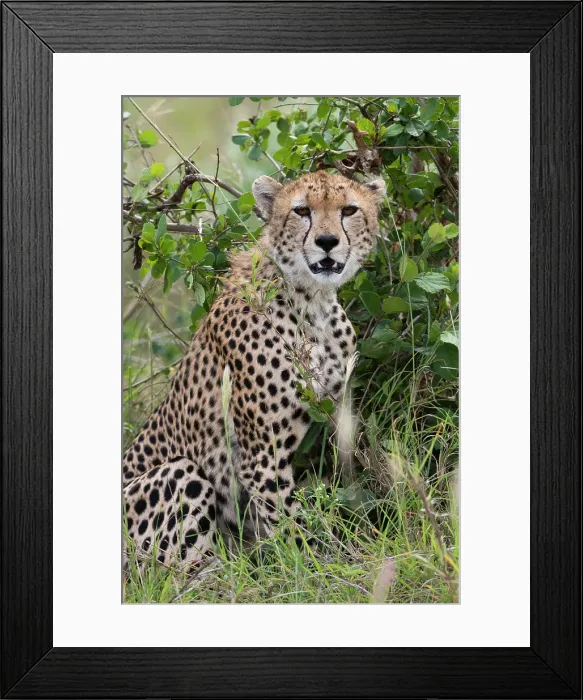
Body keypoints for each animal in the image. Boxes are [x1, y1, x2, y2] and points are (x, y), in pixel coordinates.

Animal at [123, 170, 386, 568]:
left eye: (349, 210)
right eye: (302, 211)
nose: (327, 242)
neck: (313, 303)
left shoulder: (334, 412)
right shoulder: (262, 455)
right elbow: (290, 524)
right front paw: (313, 568)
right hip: (180, 475)